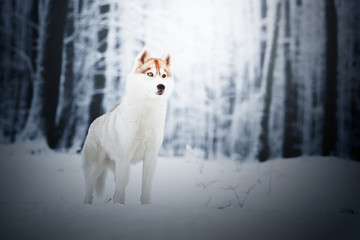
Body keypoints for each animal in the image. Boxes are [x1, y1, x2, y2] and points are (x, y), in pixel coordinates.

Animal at [81, 47, 173, 204]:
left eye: (164, 75)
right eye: (150, 74)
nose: (162, 86)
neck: (146, 111)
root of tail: (95, 121)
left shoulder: (150, 158)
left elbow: (145, 190)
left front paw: (146, 206)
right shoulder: (124, 156)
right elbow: (120, 193)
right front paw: (119, 206)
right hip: (95, 167)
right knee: (89, 192)